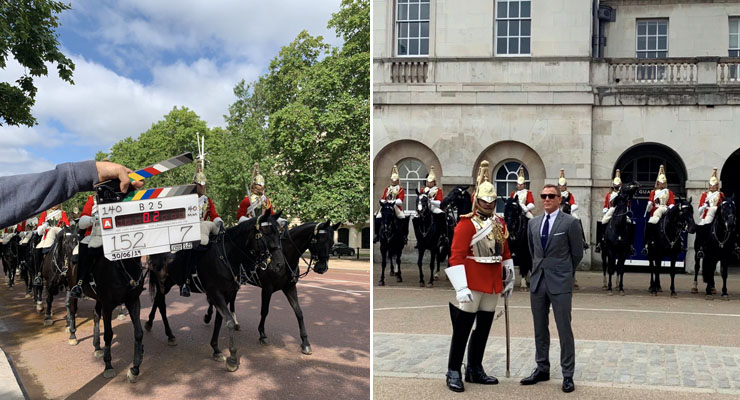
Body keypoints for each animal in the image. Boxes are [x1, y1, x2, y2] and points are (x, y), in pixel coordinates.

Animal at [146, 211, 284, 370]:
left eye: (279, 233)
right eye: (265, 233)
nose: (279, 265)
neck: (226, 256)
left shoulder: (226, 294)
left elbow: (219, 320)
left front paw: (216, 349)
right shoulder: (216, 293)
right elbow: (229, 321)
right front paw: (232, 358)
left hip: (167, 283)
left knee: (157, 301)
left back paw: (150, 324)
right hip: (163, 283)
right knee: (161, 305)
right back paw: (169, 335)